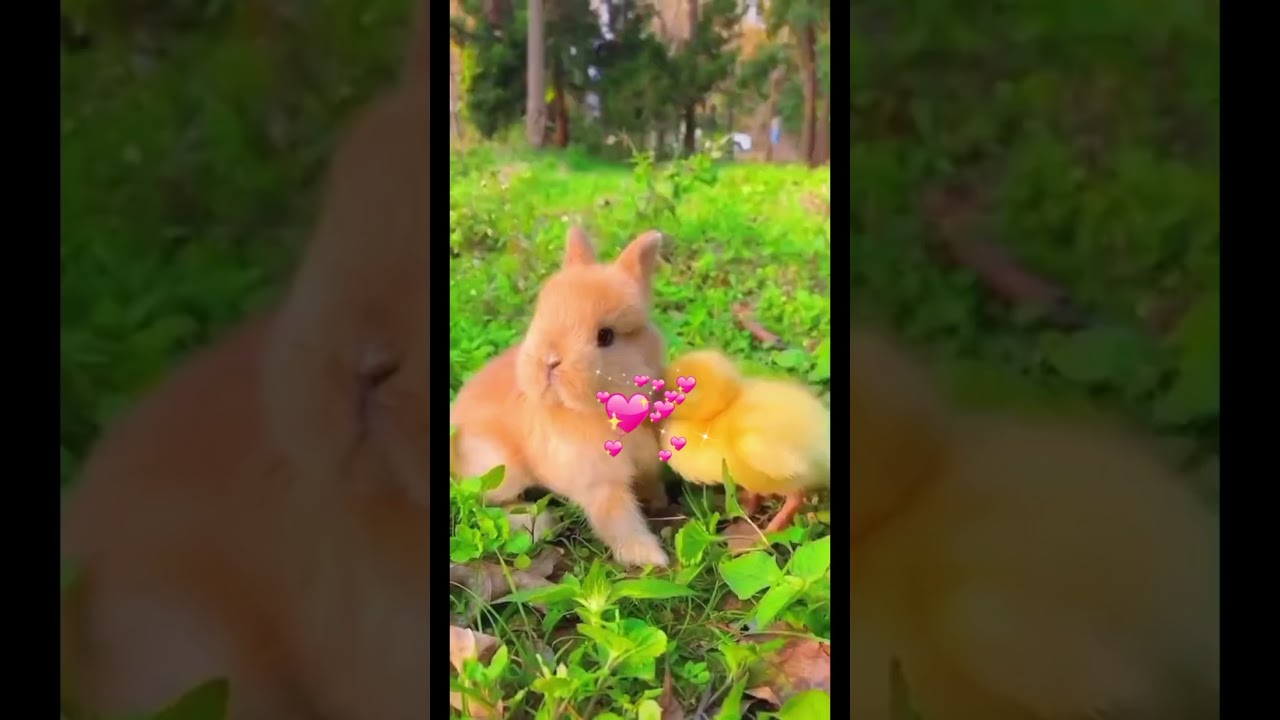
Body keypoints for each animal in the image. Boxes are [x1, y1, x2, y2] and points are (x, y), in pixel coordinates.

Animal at [450, 227, 671, 567]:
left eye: (605, 336)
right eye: (541, 317)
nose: (550, 361)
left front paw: (660, 505)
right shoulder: (600, 484)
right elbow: (619, 522)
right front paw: (652, 558)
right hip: (501, 469)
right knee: (483, 500)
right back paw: (537, 523)